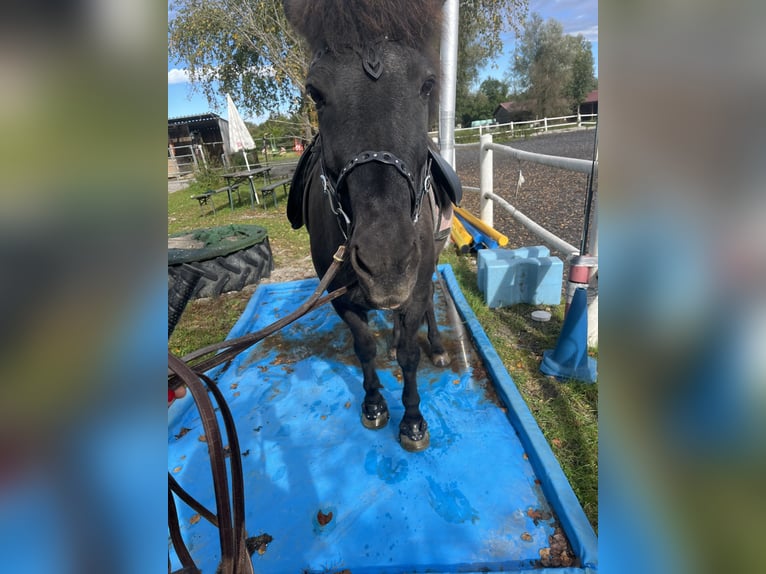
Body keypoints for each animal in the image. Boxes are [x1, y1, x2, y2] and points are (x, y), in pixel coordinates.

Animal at [284, 0, 460, 454]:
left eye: (428, 84)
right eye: (315, 92)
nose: (386, 263)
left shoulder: (415, 284)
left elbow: (409, 353)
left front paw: (412, 420)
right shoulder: (339, 297)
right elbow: (364, 347)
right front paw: (375, 403)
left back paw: (436, 346)